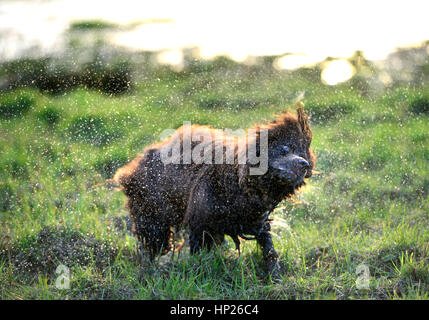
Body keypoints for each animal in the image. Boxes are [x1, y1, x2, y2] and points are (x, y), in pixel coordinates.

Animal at [113, 104, 314, 272]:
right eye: (285, 149)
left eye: (303, 154)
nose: (303, 164)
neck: (240, 183)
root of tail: (131, 169)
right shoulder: (200, 221)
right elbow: (199, 249)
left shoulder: (256, 219)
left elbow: (268, 246)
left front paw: (274, 272)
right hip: (152, 212)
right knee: (153, 240)